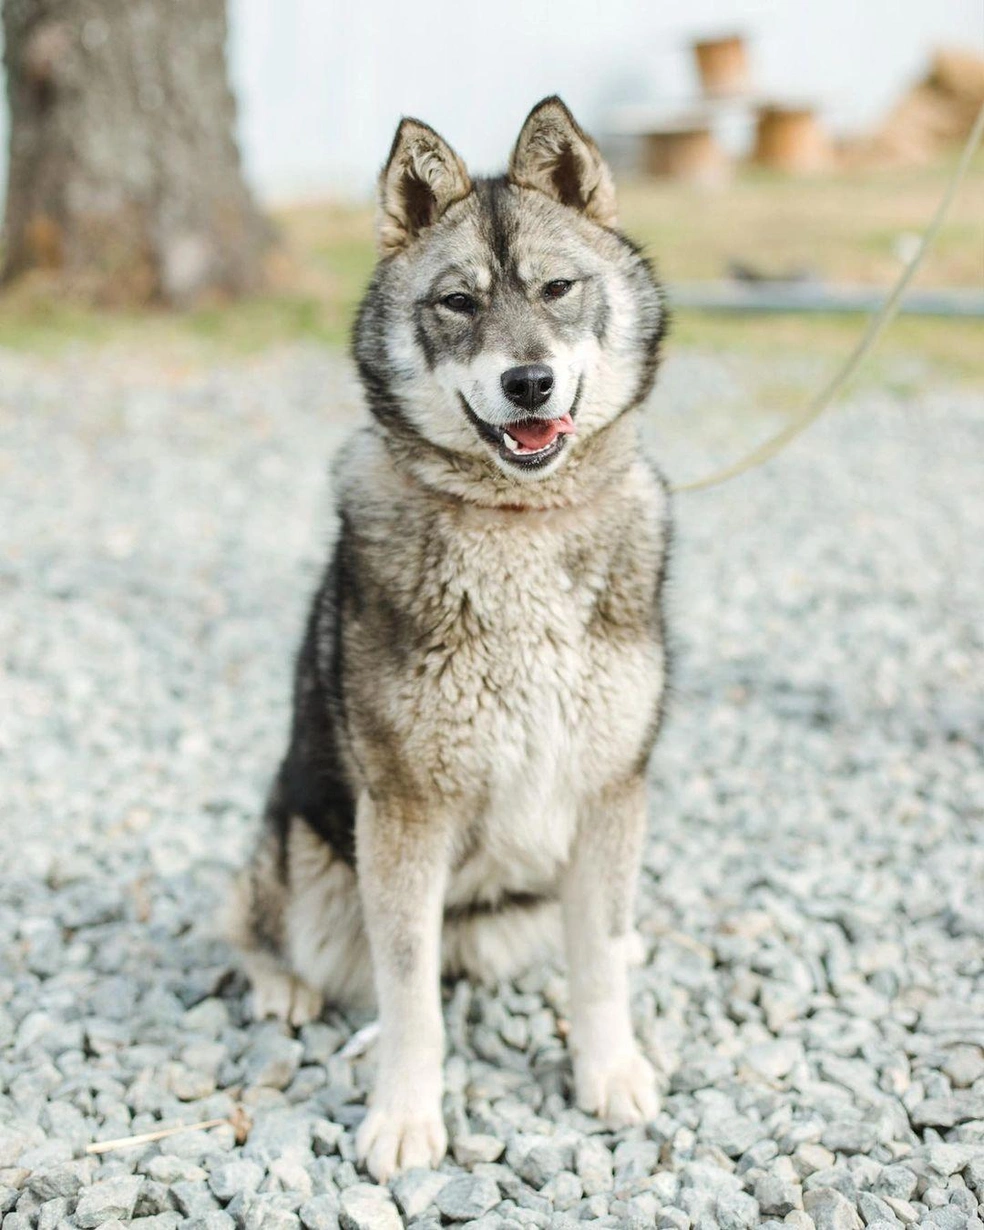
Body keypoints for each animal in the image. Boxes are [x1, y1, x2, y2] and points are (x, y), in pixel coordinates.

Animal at [226, 95, 669, 1180]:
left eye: (558, 289)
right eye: (457, 303)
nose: (528, 382)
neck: (519, 525)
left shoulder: (609, 793)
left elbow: (599, 963)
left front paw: (610, 1071)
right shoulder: (406, 815)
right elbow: (411, 996)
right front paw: (404, 1118)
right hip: (300, 850)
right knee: (250, 921)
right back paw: (280, 986)